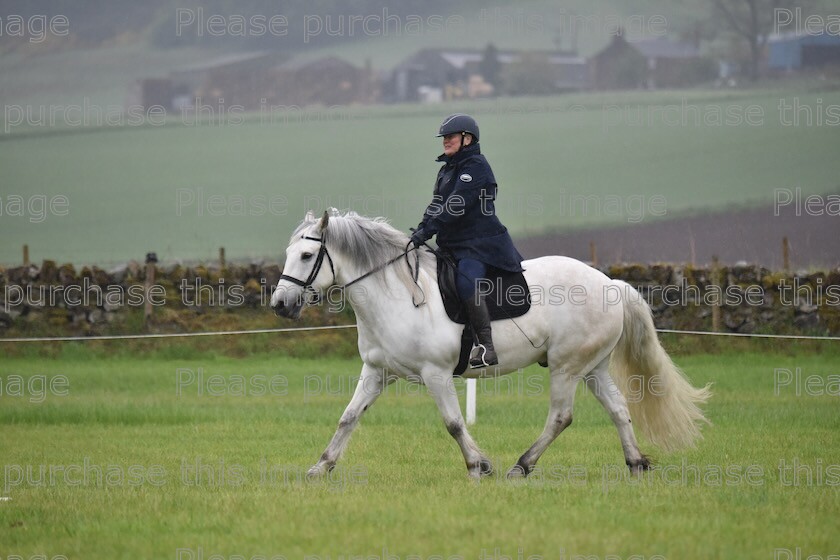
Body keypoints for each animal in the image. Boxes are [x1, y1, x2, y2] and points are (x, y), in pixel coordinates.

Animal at [270, 212, 708, 480]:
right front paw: (321, 467)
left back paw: (522, 466)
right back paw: (635, 463)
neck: (394, 294)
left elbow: (453, 423)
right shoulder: (377, 373)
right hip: (592, 367)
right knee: (618, 410)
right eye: (289, 253)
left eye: (307, 255)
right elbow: (348, 417)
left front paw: (478, 465)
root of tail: (611, 283)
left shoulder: (435, 374)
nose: (279, 304)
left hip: (566, 367)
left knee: (561, 416)